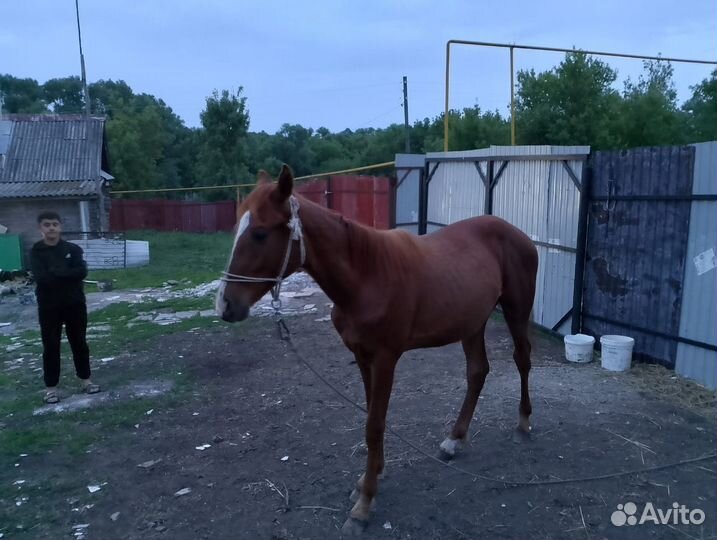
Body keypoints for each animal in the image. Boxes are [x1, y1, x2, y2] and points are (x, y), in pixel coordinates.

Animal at [216, 165, 538, 535]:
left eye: (259, 233)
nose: (225, 305)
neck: (367, 276)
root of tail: (519, 235)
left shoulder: (386, 359)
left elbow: (374, 425)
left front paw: (364, 505)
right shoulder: (361, 356)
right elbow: (372, 415)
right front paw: (371, 476)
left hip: (515, 310)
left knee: (522, 359)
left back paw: (523, 423)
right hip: (472, 323)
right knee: (477, 372)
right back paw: (454, 440)